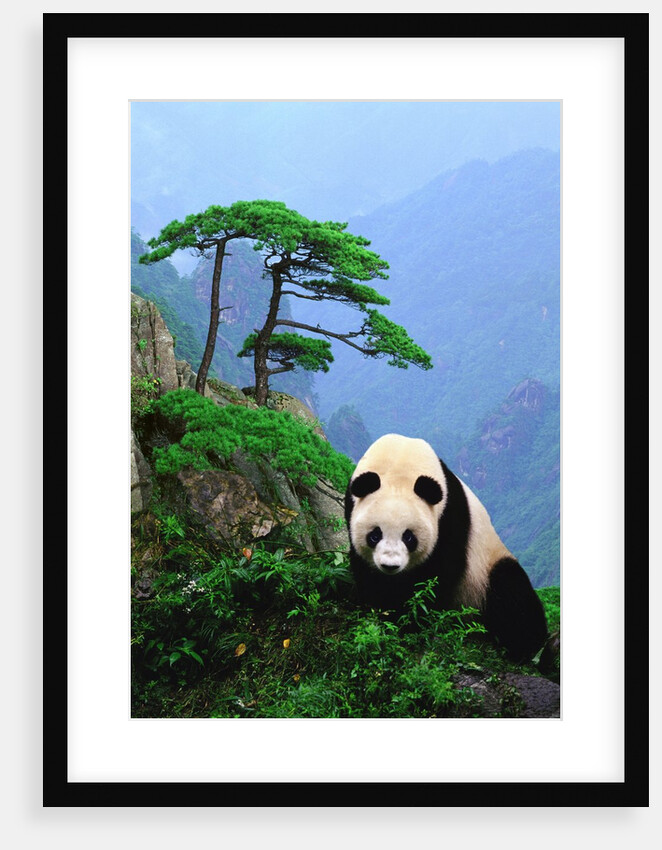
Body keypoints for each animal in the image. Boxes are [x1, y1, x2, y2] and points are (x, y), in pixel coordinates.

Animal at [345, 433, 548, 662]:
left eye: (409, 537)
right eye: (375, 535)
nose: (390, 566)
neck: (400, 458)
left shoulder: (450, 518)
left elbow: (438, 576)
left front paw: (410, 619)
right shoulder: (351, 504)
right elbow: (365, 570)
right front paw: (381, 609)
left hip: (484, 574)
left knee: (511, 594)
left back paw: (528, 648)